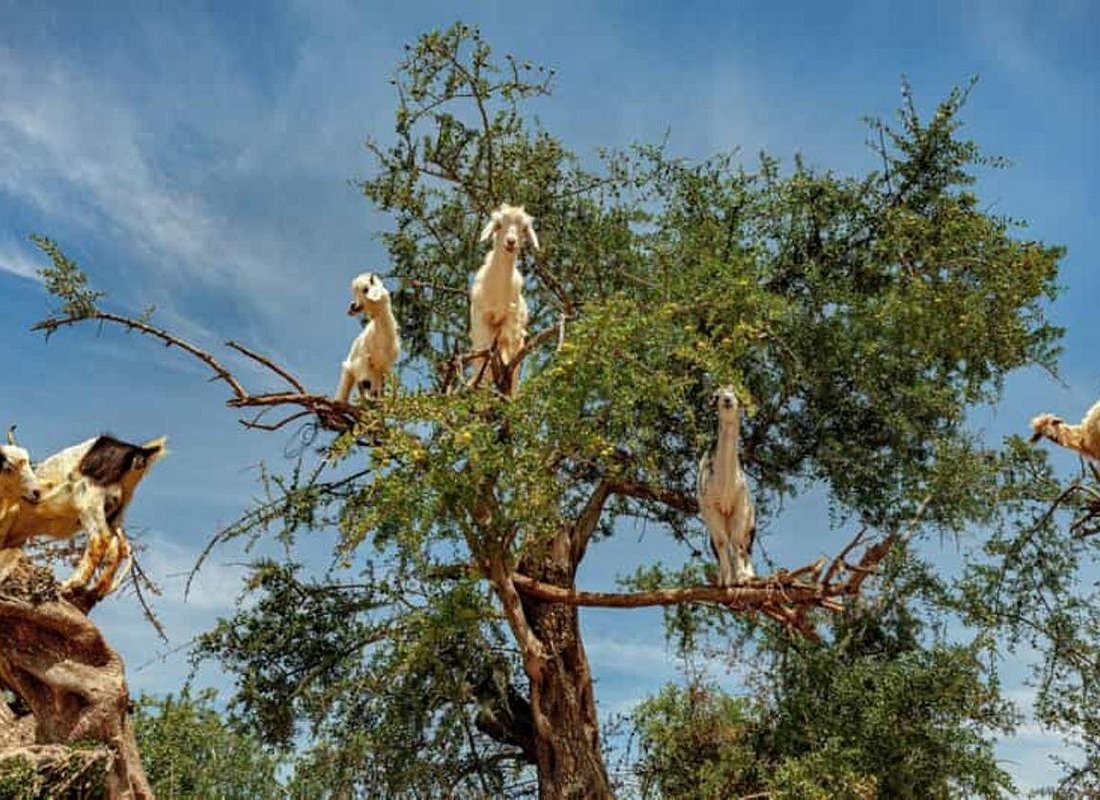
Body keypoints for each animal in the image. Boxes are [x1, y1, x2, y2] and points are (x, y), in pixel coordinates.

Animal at [2, 434, 167, 597]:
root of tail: (139, 453)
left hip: (89, 497)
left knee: (100, 538)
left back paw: (71, 584)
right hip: (114, 512)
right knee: (118, 546)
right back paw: (95, 591)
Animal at [335, 272, 401, 403]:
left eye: (366, 289)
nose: (353, 306)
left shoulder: (384, 367)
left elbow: (381, 389)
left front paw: (379, 401)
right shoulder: (363, 360)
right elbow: (365, 383)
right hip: (349, 369)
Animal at [469, 204, 537, 391]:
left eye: (524, 228)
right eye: (498, 225)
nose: (511, 242)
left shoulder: (510, 322)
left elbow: (507, 352)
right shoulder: (481, 319)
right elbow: (483, 353)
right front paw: (480, 381)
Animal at [697, 386, 756, 586]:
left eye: (736, 394)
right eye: (718, 396)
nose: (727, 400)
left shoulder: (740, 507)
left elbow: (737, 542)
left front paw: (742, 578)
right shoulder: (711, 509)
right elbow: (722, 542)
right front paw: (726, 580)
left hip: (750, 525)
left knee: (746, 547)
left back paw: (750, 575)